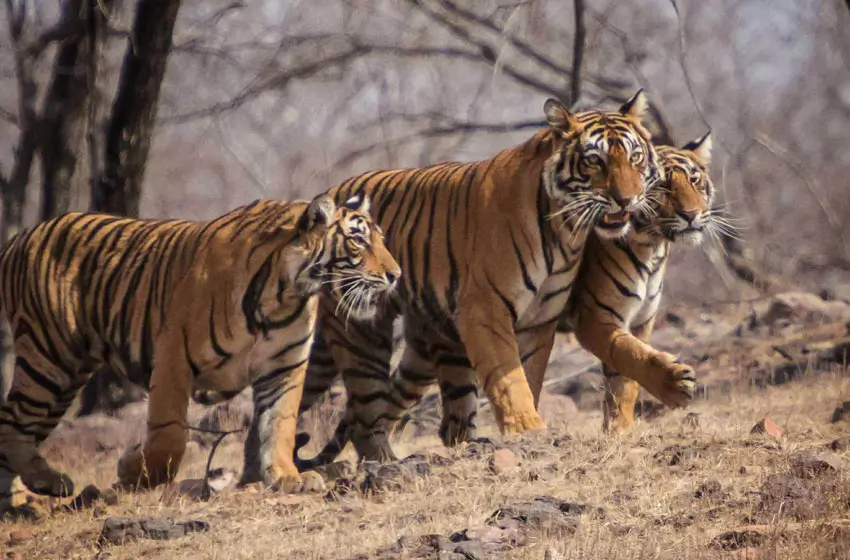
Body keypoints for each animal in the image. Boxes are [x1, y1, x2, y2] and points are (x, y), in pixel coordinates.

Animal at [0, 191, 399, 512]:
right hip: (49, 357)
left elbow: (281, 423)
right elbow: (170, 437)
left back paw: (26, 496)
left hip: (65, 374)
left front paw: (288, 477)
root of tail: (20, 237)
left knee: (18, 427)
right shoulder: (173, 358)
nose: (396, 275)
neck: (286, 293)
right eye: (358, 242)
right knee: (11, 421)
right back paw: (40, 487)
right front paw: (132, 470)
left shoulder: (284, 367)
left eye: (381, 239)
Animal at [291, 91, 693, 470]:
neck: (567, 232)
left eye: (635, 158)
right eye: (595, 160)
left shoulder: (539, 320)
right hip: (362, 331)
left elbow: (529, 373)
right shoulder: (486, 309)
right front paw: (527, 428)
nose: (627, 200)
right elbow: (508, 378)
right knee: (362, 409)